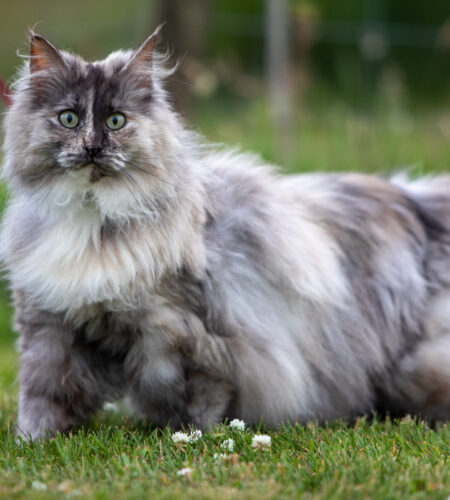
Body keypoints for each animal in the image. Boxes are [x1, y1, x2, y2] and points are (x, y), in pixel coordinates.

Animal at [0, 29, 448, 440]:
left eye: (116, 121)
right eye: (69, 119)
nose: (93, 147)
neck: (94, 221)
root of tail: (416, 204)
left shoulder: (179, 336)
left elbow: (199, 398)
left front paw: (188, 438)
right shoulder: (50, 329)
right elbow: (44, 397)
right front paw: (32, 443)